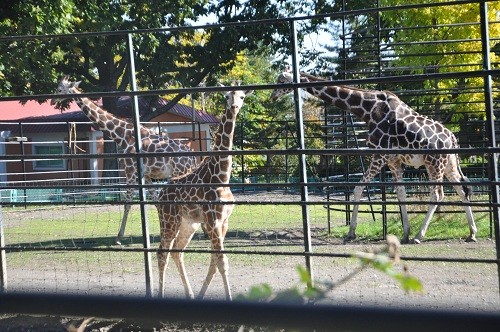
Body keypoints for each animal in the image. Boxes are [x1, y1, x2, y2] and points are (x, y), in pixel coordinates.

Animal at [51, 76, 197, 245]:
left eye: (59, 89)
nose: (53, 101)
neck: (122, 136)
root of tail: (193, 156)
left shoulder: (130, 171)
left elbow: (128, 203)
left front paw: (118, 238)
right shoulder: (146, 175)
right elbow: (156, 202)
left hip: (180, 173)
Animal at [155, 87, 252, 300]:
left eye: (242, 96)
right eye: (226, 96)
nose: (234, 106)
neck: (221, 176)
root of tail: (159, 196)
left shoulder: (224, 221)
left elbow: (215, 260)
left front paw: (201, 294)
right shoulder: (212, 220)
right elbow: (222, 261)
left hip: (188, 223)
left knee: (177, 252)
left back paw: (190, 294)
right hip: (169, 220)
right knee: (162, 253)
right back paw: (159, 294)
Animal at [272, 70, 478, 244]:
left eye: (281, 80)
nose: (273, 96)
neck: (368, 109)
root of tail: (452, 139)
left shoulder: (379, 154)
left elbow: (358, 188)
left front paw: (351, 232)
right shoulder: (393, 160)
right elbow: (401, 194)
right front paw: (405, 233)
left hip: (434, 163)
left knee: (437, 194)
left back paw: (420, 236)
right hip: (449, 164)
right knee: (462, 190)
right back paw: (472, 233)